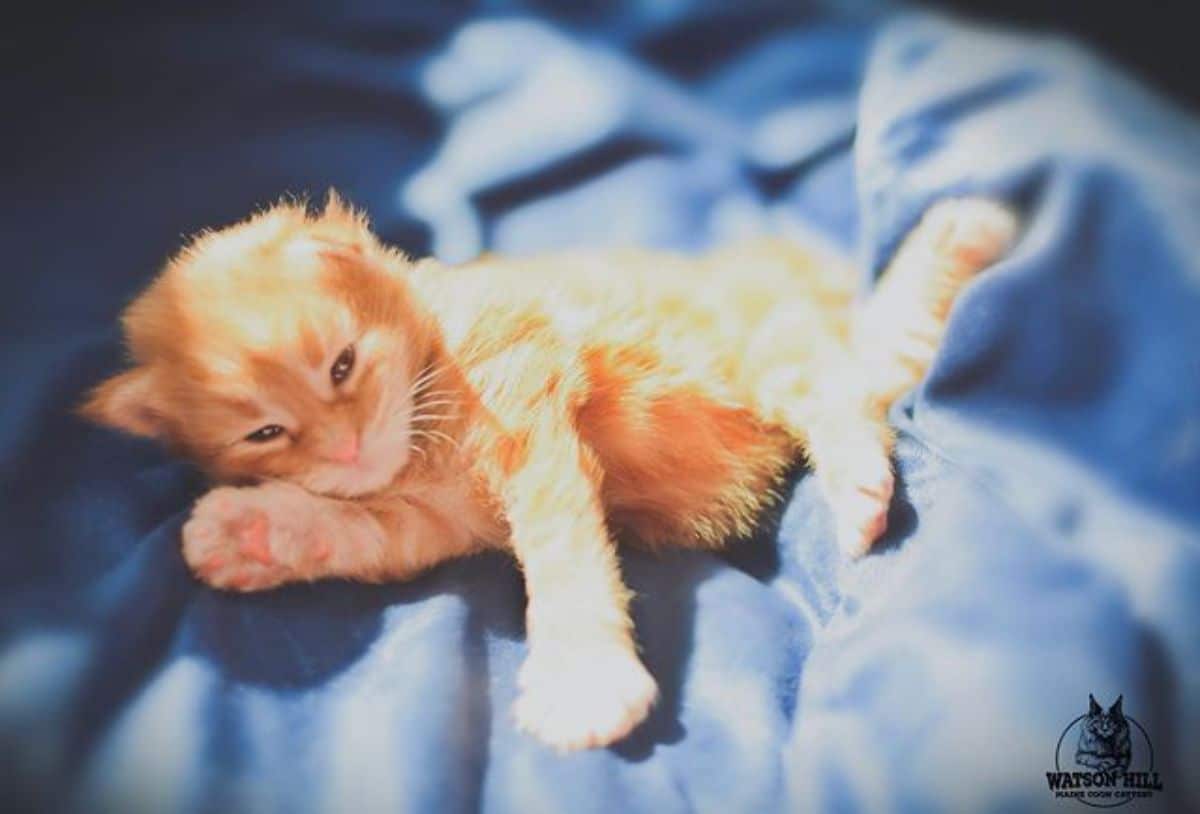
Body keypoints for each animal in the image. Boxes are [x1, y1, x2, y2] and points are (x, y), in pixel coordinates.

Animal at [82, 195, 1012, 753]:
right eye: (267, 431)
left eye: (342, 366)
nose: (345, 450)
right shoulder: (425, 523)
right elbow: (352, 530)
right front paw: (255, 528)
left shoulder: (531, 423)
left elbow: (564, 562)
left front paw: (582, 678)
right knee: (874, 363)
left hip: (763, 344)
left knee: (856, 376)